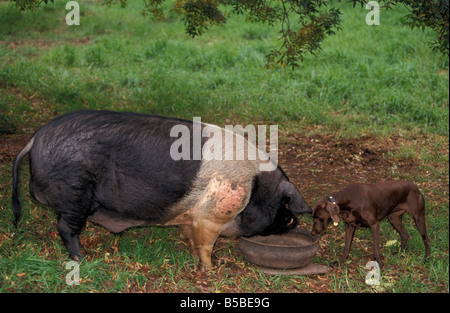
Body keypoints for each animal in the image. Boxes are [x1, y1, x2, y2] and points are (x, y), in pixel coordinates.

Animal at [12, 109, 312, 268]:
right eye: (285, 204)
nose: (294, 221)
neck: (254, 186)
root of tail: (35, 138)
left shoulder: (193, 216)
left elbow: (191, 236)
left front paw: (191, 251)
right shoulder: (211, 214)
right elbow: (206, 244)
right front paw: (211, 269)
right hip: (75, 193)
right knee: (65, 227)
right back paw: (83, 258)